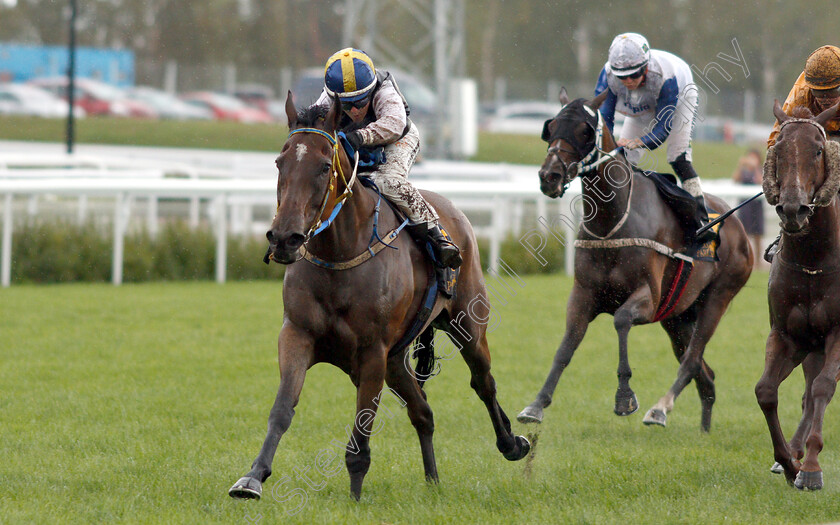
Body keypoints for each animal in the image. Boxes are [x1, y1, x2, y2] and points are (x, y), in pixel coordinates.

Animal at [225, 93, 524, 500]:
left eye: (324, 166)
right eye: (279, 162)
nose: (285, 238)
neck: (339, 254)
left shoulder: (371, 352)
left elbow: (362, 427)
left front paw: (354, 495)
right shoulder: (298, 335)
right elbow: (283, 408)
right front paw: (252, 478)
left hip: (468, 327)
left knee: (483, 382)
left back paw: (511, 443)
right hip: (397, 359)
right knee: (423, 411)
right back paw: (432, 481)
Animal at [520, 90, 756, 432]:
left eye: (584, 130)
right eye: (550, 128)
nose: (548, 176)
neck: (611, 220)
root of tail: (737, 225)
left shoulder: (648, 297)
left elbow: (620, 320)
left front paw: (624, 397)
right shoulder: (582, 294)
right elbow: (566, 346)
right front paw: (536, 404)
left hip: (718, 297)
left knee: (691, 361)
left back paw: (660, 409)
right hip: (677, 317)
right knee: (705, 373)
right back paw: (703, 430)